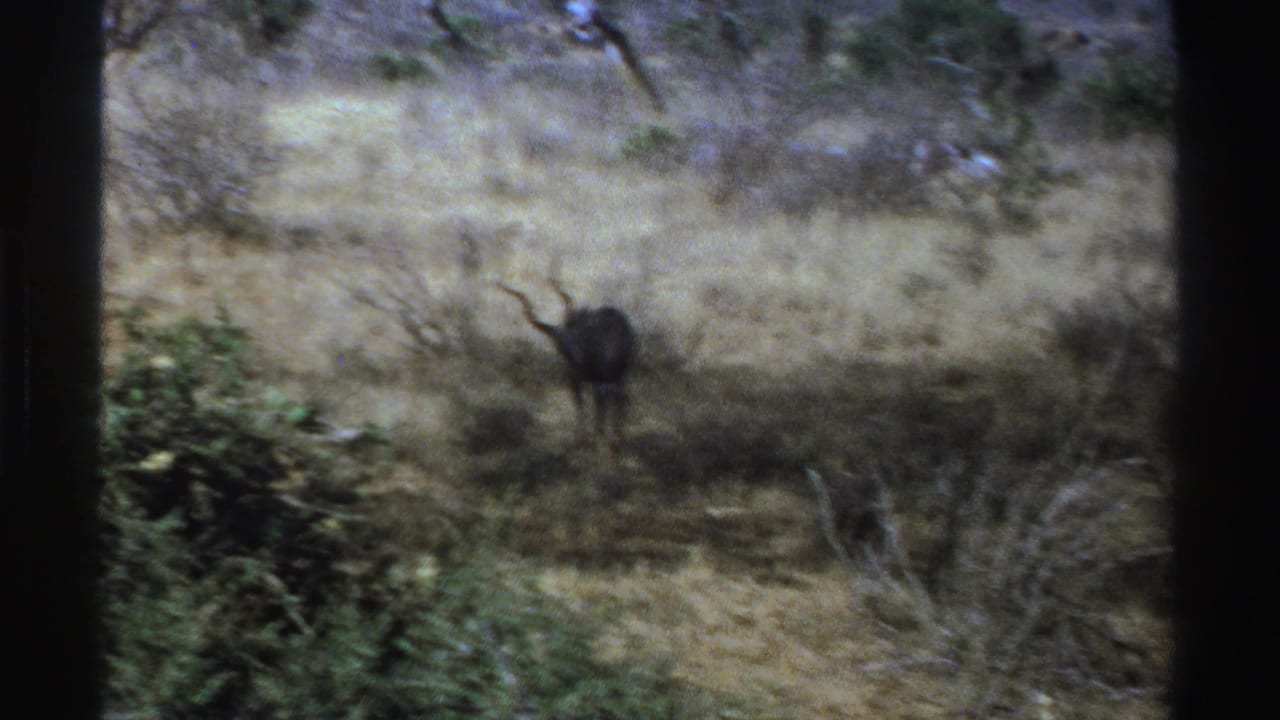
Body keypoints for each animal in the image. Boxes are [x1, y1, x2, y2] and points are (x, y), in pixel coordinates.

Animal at [497, 280, 636, 447]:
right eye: (560, 343)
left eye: (577, 338)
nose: (577, 359)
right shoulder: (584, 379)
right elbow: (585, 404)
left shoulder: (582, 379)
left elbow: (586, 404)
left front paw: (586, 437)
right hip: (618, 375)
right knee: (620, 399)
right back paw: (616, 436)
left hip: (607, 378)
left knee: (610, 400)